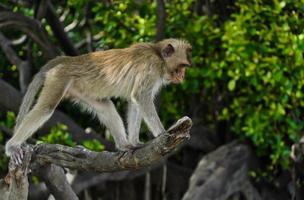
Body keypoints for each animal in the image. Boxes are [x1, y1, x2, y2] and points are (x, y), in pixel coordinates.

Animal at [4, 38, 192, 165]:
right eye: (181, 67)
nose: (183, 76)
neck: (157, 54)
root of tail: (70, 59)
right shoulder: (150, 68)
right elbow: (140, 96)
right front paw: (162, 133)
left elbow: (134, 102)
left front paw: (134, 142)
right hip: (58, 78)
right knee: (45, 108)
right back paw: (12, 146)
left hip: (80, 89)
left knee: (106, 107)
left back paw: (124, 145)